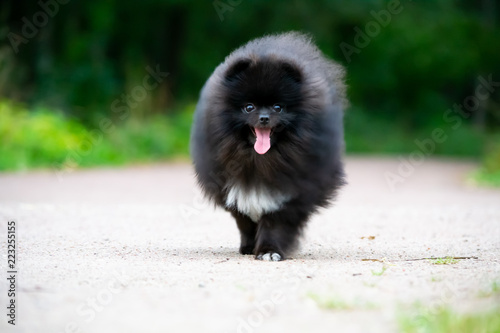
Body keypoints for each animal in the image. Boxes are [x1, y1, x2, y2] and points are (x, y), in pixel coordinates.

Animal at [189, 31, 346, 260]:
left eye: (278, 107)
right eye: (249, 107)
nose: (264, 118)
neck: (260, 160)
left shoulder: (290, 191)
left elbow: (275, 223)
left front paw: (269, 250)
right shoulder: (234, 189)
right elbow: (245, 222)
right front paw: (249, 245)